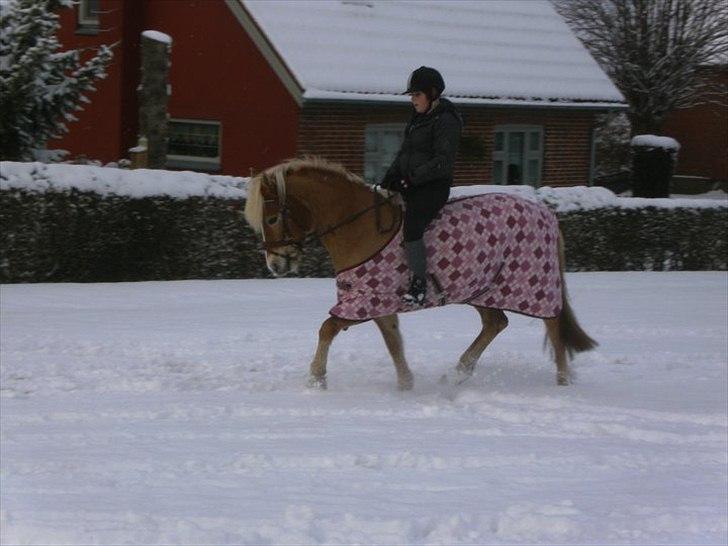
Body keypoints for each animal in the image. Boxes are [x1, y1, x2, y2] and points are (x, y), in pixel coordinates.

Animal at [245, 155, 596, 388]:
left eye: (273, 218)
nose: (275, 264)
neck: (360, 226)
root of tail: (545, 212)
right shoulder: (377, 300)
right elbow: (393, 342)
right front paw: (406, 384)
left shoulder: (366, 299)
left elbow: (327, 328)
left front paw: (316, 378)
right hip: (483, 288)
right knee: (496, 323)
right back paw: (459, 372)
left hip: (533, 287)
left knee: (552, 326)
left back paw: (562, 382)